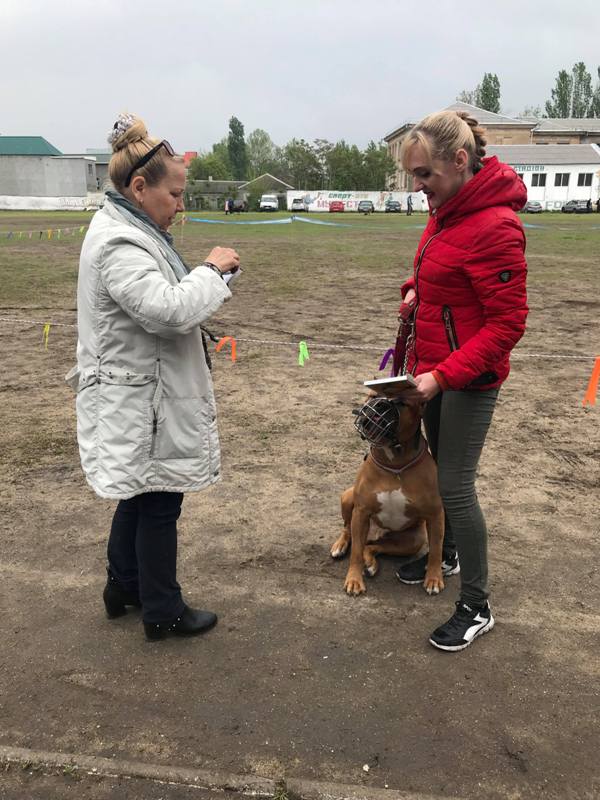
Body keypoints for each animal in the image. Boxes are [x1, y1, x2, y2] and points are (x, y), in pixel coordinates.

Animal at [331, 387, 445, 596]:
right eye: (373, 396)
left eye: (401, 402)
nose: (380, 406)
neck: (395, 465)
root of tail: (375, 533)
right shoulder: (361, 512)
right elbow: (355, 553)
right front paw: (354, 580)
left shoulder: (436, 515)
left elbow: (436, 549)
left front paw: (433, 578)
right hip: (348, 498)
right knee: (350, 532)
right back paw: (340, 546)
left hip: (412, 540)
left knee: (372, 546)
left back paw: (370, 563)